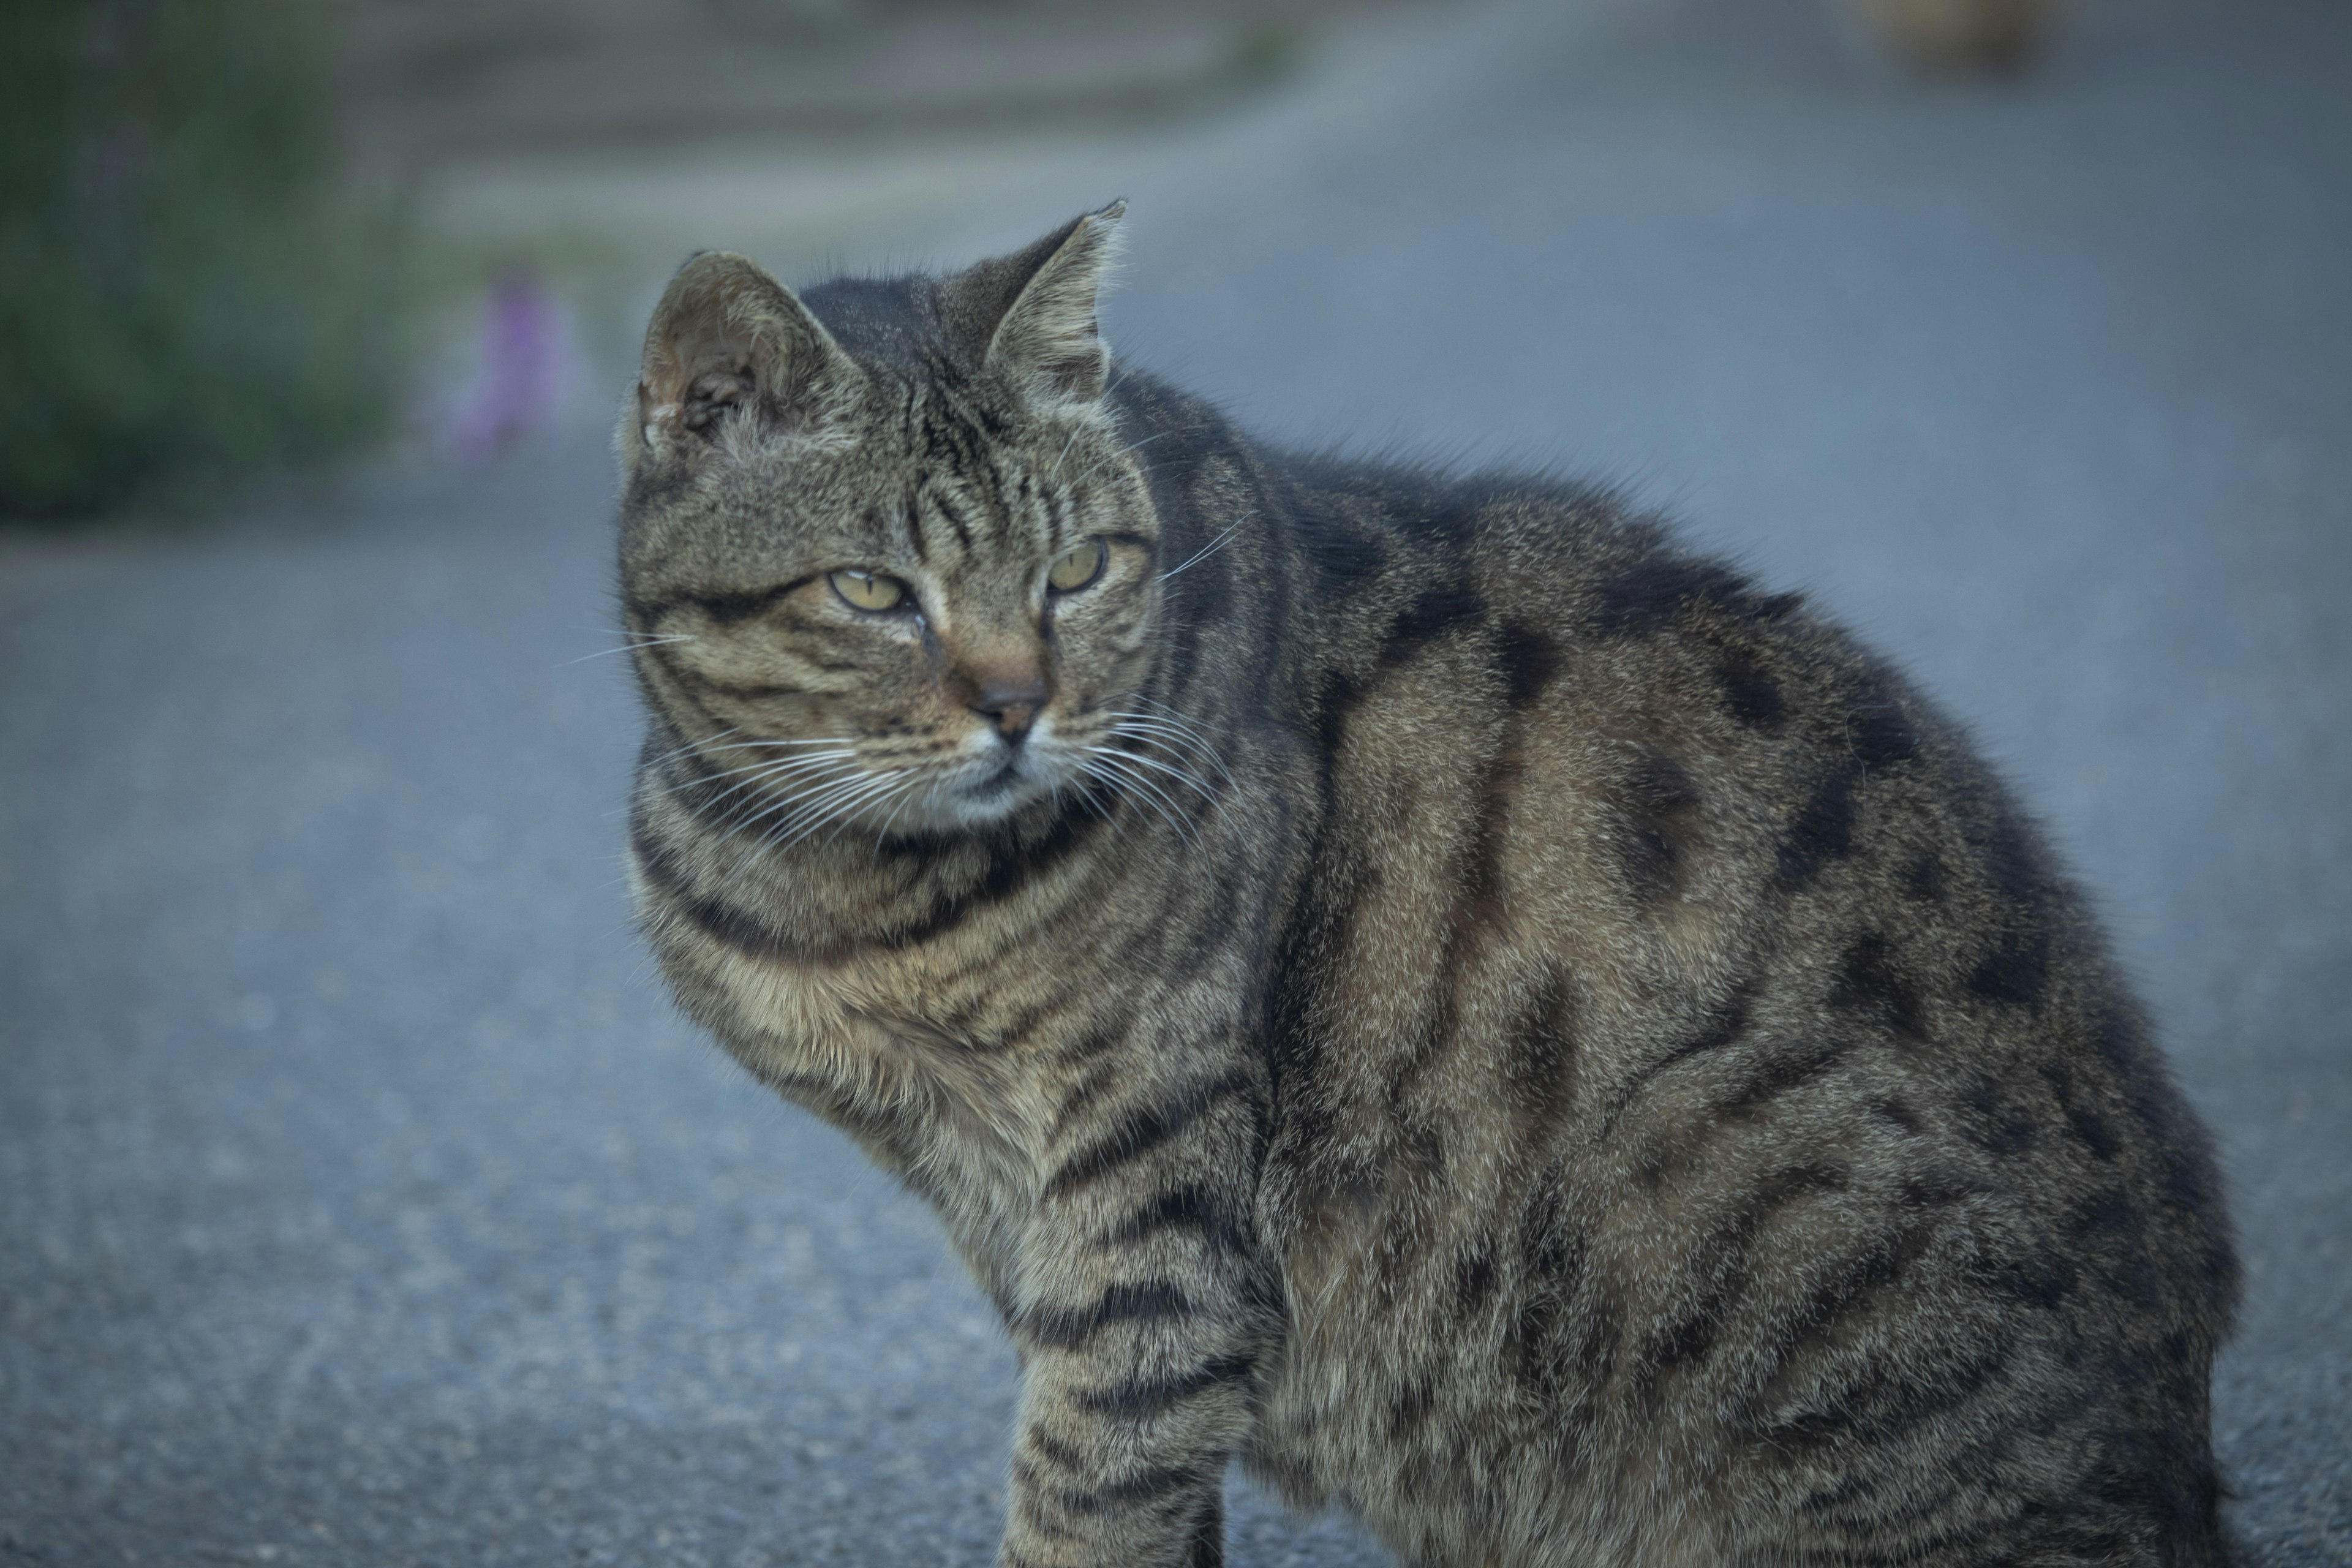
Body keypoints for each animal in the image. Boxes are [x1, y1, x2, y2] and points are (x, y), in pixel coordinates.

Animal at [616, 208, 2230, 1568]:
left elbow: (1091, 1480)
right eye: (874, 593)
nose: (1020, 705)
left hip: (1735, 1156)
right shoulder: (1026, 1217)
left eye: (1074, 572)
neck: (825, 875)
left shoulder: (1145, 1189)